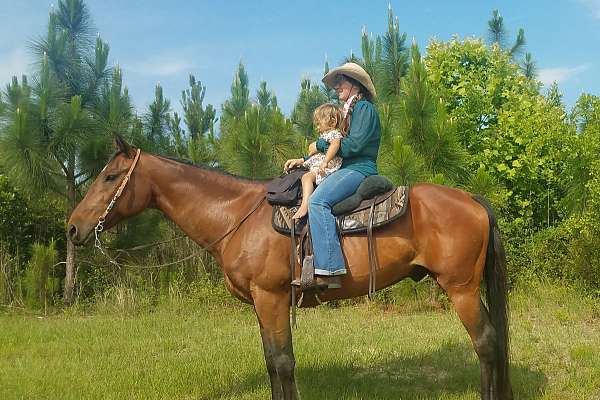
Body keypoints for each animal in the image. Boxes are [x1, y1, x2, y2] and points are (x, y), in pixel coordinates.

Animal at [69, 138, 510, 400]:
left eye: (110, 176)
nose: (73, 228)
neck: (236, 216)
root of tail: (472, 198)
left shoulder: (272, 296)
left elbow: (283, 361)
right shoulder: (262, 303)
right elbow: (271, 360)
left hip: (461, 287)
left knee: (486, 343)